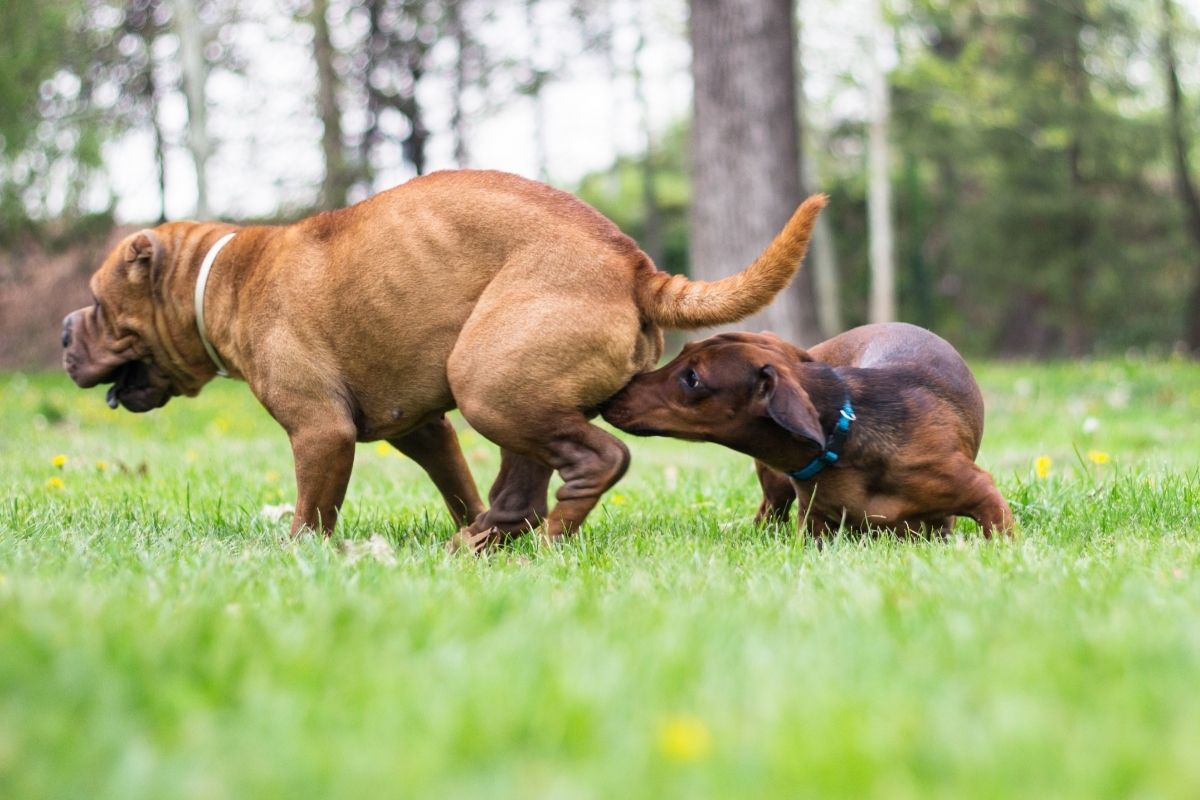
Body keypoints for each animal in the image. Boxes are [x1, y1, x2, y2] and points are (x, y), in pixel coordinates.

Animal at [58, 171, 825, 546]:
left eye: (96, 302)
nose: (65, 330)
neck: (220, 277)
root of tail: (633, 265)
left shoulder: (320, 432)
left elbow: (313, 509)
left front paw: (297, 553)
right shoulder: (422, 428)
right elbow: (456, 483)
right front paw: (463, 518)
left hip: (488, 380)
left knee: (596, 461)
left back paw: (549, 538)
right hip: (510, 394)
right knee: (519, 488)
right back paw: (481, 542)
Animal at [600, 323, 1012, 537]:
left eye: (692, 378)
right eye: (684, 349)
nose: (612, 392)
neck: (842, 443)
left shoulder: (983, 494)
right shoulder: (815, 527)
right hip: (776, 487)